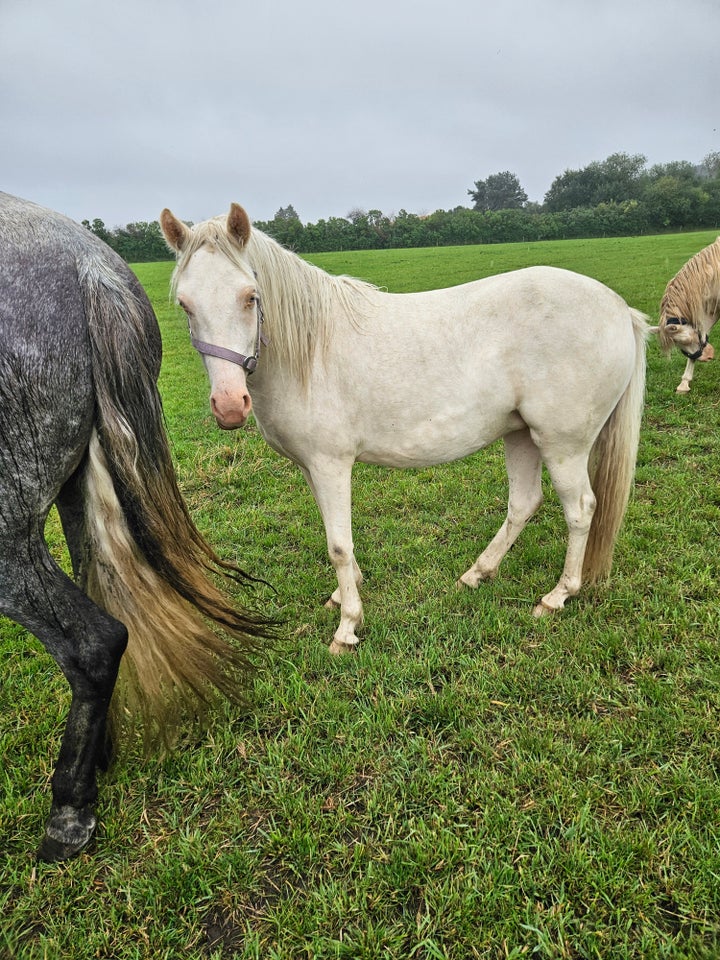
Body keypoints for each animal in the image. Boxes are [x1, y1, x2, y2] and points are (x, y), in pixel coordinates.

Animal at [160, 202, 648, 652]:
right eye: (185, 304)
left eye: (250, 296)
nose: (229, 406)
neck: (310, 352)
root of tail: (620, 309)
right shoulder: (310, 467)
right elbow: (334, 535)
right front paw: (344, 595)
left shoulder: (331, 464)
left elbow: (338, 544)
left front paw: (348, 627)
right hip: (520, 434)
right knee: (524, 503)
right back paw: (477, 574)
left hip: (563, 444)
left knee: (580, 509)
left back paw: (557, 596)